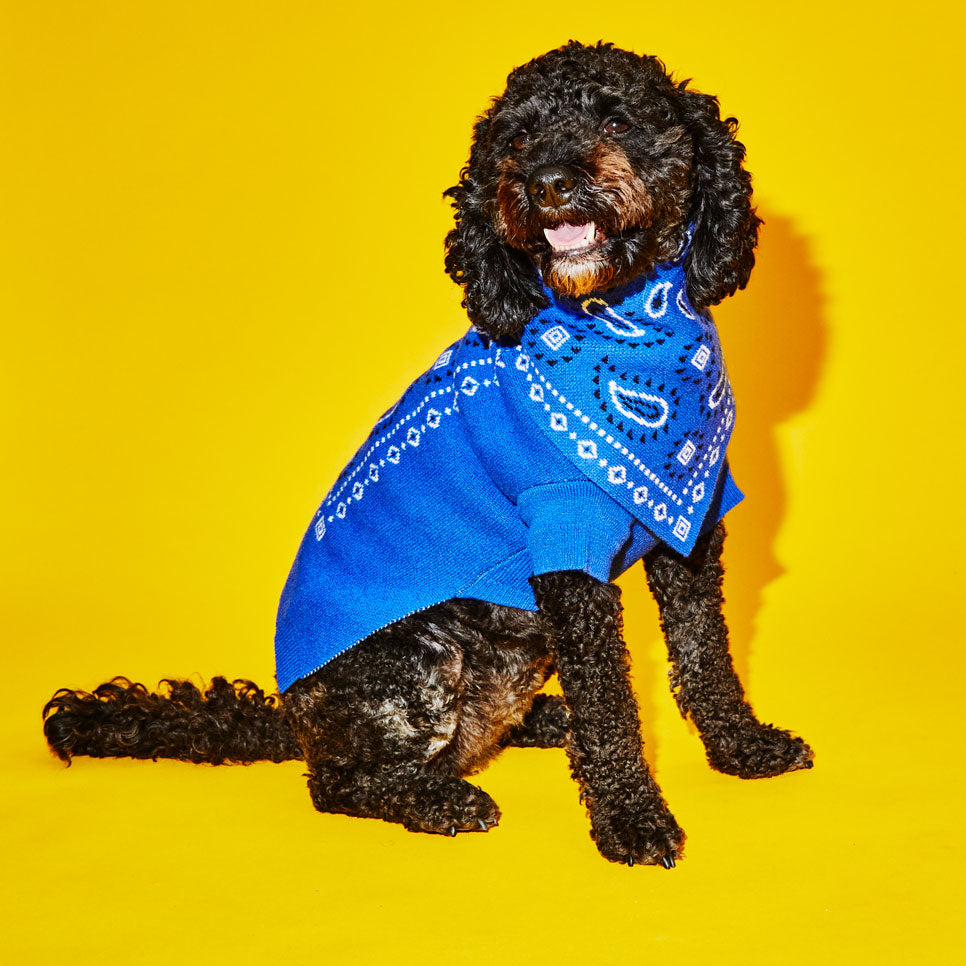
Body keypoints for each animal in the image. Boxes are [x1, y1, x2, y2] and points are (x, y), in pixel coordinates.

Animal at [45, 41, 816, 868]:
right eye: (516, 138)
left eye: (617, 120)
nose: (546, 182)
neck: (628, 323)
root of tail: (292, 717)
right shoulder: (564, 537)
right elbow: (609, 703)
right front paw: (632, 817)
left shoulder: (693, 520)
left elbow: (707, 655)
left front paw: (742, 748)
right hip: (420, 657)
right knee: (337, 783)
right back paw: (439, 797)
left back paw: (539, 722)